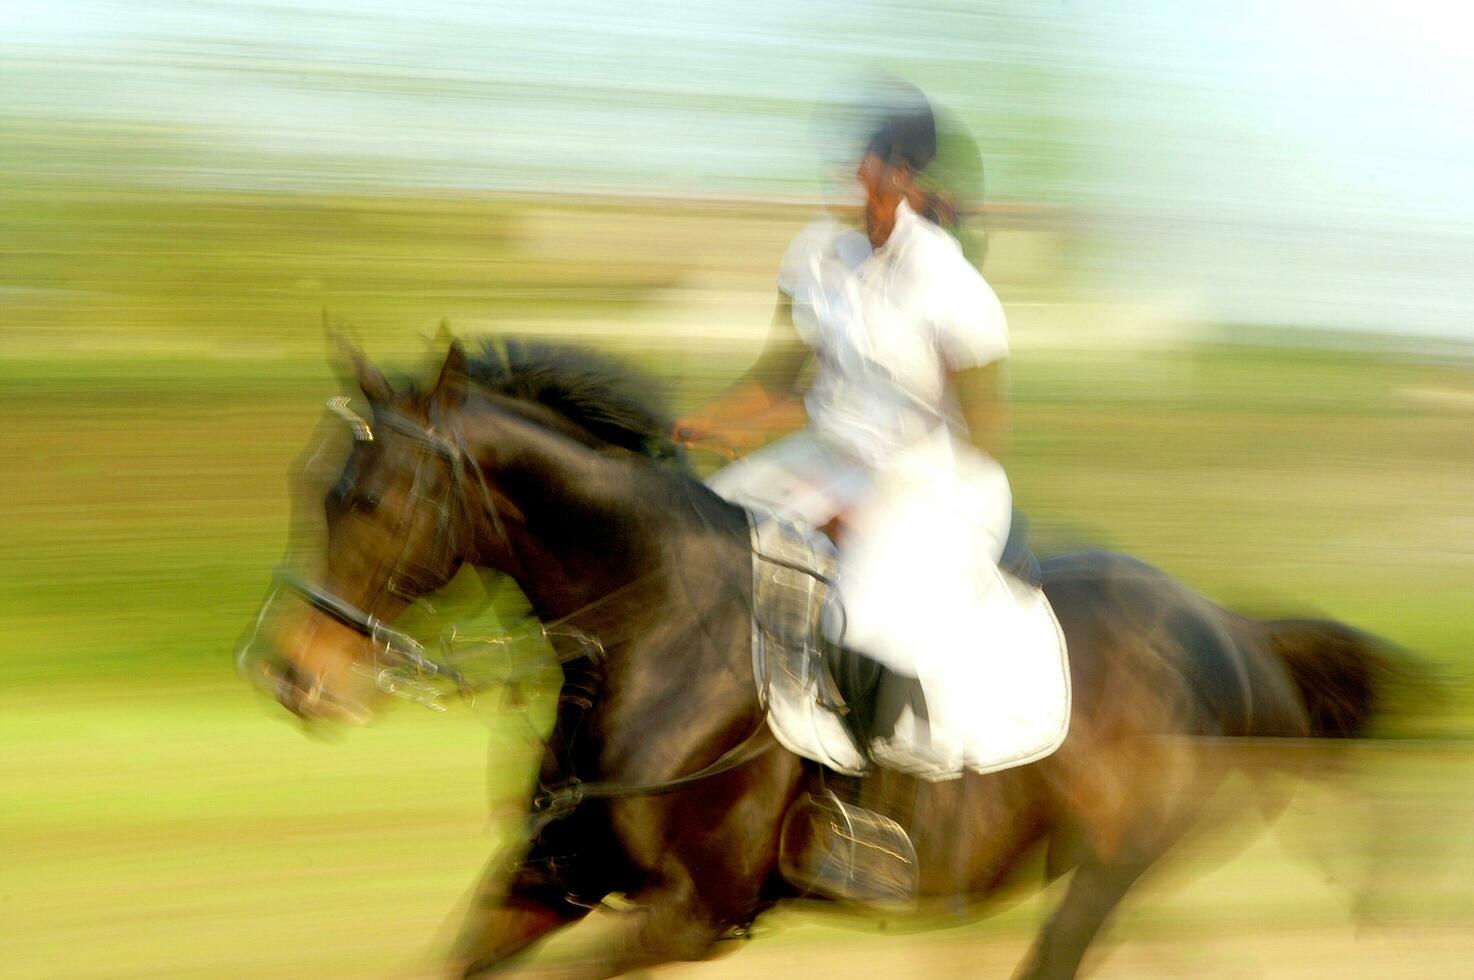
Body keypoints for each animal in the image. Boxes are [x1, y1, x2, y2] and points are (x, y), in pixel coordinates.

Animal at [241, 333, 1391, 972]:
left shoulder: (688, 916)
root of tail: (1232, 629)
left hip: (1113, 862)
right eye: (310, 486)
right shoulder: (547, 878)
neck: (649, 631)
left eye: (376, 502)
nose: (291, 677)